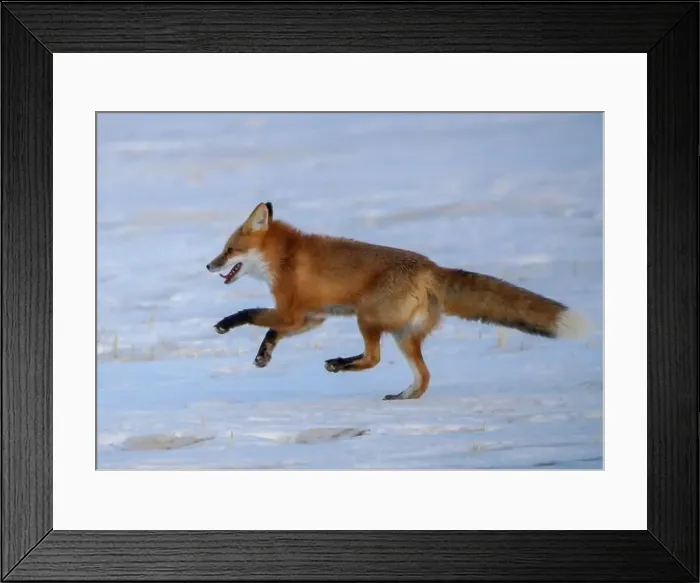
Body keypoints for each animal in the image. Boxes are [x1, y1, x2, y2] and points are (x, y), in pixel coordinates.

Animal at [206, 202, 589, 400]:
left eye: (229, 250)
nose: (209, 266)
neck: (284, 258)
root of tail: (433, 268)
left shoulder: (292, 312)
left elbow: (253, 315)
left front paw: (226, 324)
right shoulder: (310, 318)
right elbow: (270, 332)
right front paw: (264, 355)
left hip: (367, 319)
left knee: (374, 359)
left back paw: (339, 365)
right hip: (404, 335)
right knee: (424, 376)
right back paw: (403, 397)